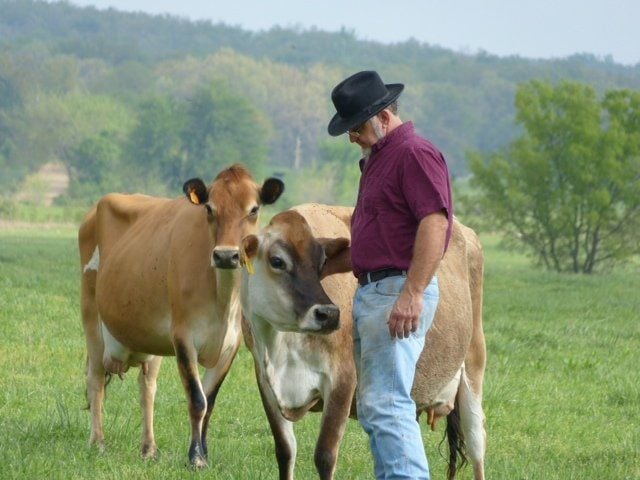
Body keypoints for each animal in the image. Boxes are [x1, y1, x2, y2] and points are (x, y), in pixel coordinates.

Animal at [78, 164, 282, 464]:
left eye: (254, 209)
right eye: (209, 208)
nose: (226, 255)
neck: (223, 299)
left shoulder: (231, 345)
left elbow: (210, 401)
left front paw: (203, 454)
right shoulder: (184, 337)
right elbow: (197, 399)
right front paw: (195, 458)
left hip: (150, 341)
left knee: (147, 388)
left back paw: (149, 448)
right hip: (91, 316)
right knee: (95, 380)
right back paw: (98, 442)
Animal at [240, 204, 484, 480]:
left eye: (321, 263)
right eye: (277, 261)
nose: (328, 314)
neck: (281, 347)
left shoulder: (342, 379)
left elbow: (325, 455)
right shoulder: (265, 380)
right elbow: (285, 450)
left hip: (474, 365)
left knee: (476, 445)